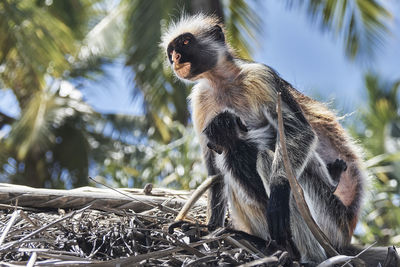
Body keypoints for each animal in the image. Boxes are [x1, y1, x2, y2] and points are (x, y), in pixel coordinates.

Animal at [162, 13, 394, 264]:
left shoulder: (260, 76)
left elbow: (300, 133)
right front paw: (209, 229)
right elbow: (215, 171)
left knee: (267, 160)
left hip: (328, 219)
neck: (223, 82)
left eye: (185, 42)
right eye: (171, 50)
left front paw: (279, 191)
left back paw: (311, 255)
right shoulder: (200, 100)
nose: (175, 58)